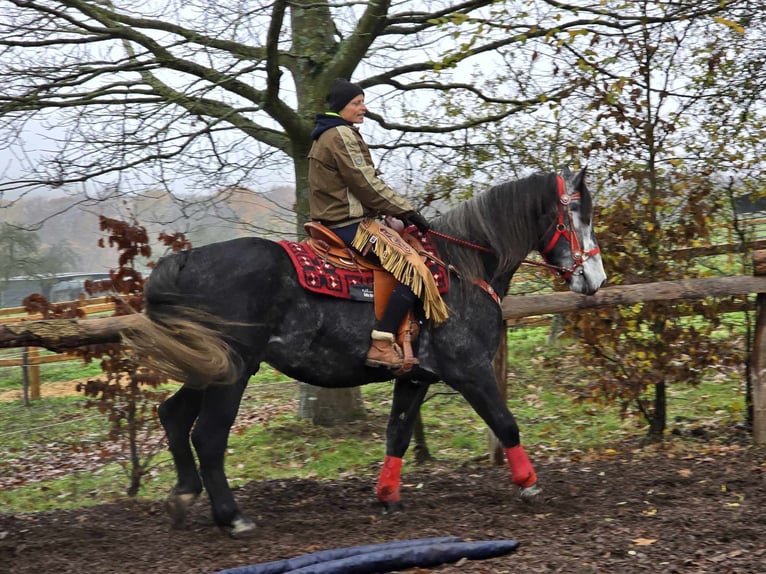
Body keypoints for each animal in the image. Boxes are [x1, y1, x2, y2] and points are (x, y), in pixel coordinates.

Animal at [130, 168, 608, 540]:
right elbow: (506, 424)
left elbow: (397, 434)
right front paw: (528, 484)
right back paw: (232, 518)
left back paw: (183, 496)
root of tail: (185, 262)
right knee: (208, 436)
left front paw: (388, 495)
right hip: (233, 372)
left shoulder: (415, 376)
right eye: (580, 215)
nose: (596, 279)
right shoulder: (470, 370)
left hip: (209, 368)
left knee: (172, 415)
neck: (463, 270)